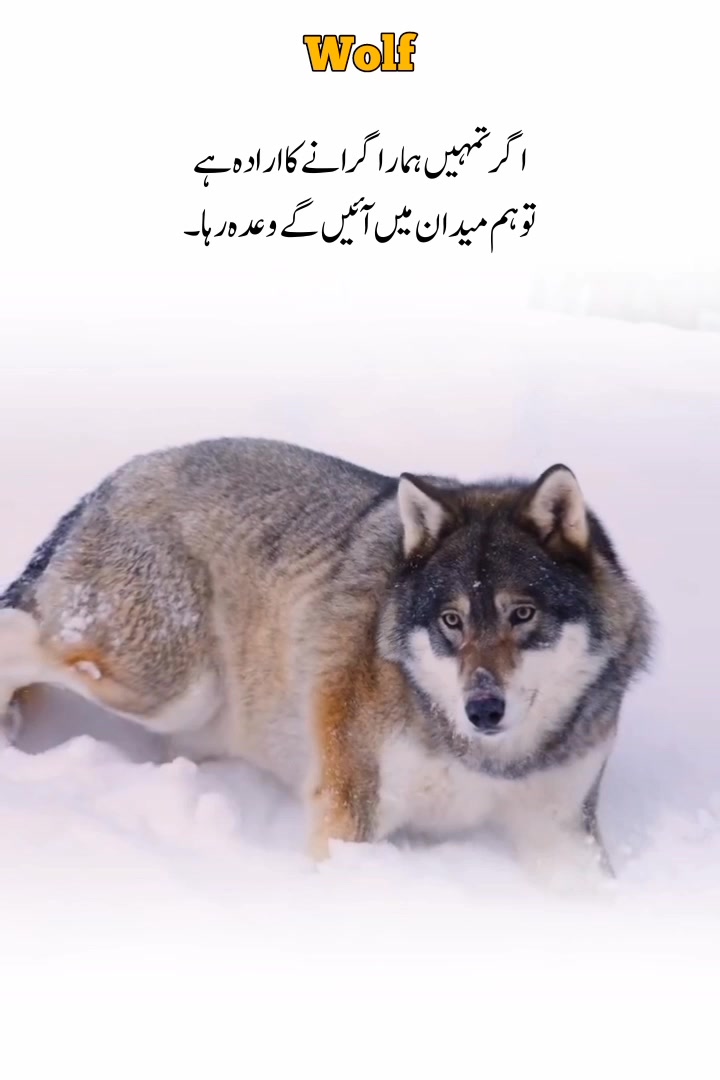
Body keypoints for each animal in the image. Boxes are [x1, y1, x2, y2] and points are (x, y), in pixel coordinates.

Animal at [0, 438, 652, 884]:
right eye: (452, 621)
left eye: (522, 614)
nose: (483, 709)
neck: (484, 759)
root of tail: (110, 482)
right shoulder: (351, 813)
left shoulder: (563, 832)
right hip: (174, 685)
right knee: (20, 635)